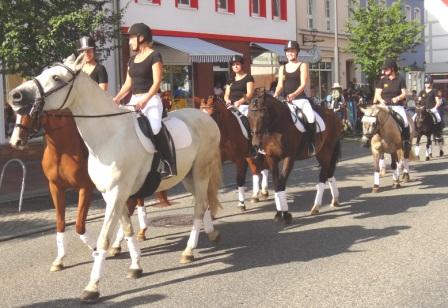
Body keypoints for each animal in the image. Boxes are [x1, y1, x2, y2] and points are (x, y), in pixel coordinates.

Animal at [7, 54, 222, 302]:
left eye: (56, 77)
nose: (15, 96)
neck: (108, 136)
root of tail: (205, 117)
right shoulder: (110, 195)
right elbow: (126, 229)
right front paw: (136, 266)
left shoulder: (115, 193)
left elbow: (103, 238)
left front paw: (92, 286)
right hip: (187, 176)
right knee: (203, 203)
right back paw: (211, 233)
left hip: (200, 172)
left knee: (199, 206)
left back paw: (188, 251)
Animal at [248, 89, 344, 224]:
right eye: (248, 116)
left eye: (262, 115)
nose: (255, 144)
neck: (278, 127)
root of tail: (333, 114)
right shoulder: (271, 158)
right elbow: (277, 185)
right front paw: (279, 213)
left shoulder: (289, 158)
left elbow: (282, 183)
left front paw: (286, 214)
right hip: (322, 152)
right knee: (329, 172)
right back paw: (334, 200)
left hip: (325, 151)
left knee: (324, 174)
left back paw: (316, 207)